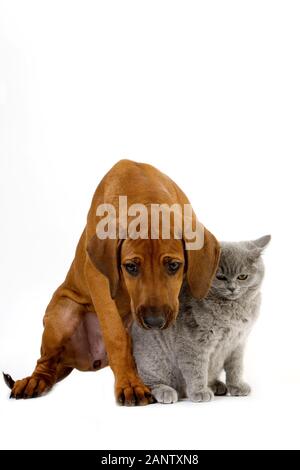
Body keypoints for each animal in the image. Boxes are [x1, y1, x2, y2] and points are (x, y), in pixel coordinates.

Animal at [4, 160, 220, 406]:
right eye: (131, 267)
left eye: (174, 265)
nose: (154, 322)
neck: (146, 193)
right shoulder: (98, 277)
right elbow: (116, 336)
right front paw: (130, 385)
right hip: (62, 314)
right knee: (45, 363)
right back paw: (34, 381)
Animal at [131, 235, 270, 404]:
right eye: (220, 277)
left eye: (242, 276)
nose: (232, 288)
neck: (232, 309)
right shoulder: (194, 342)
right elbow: (196, 369)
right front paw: (200, 392)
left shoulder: (238, 342)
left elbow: (236, 368)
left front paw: (237, 386)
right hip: (153, 361)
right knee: (148, 383)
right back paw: (166, 391)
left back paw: (216, 385)